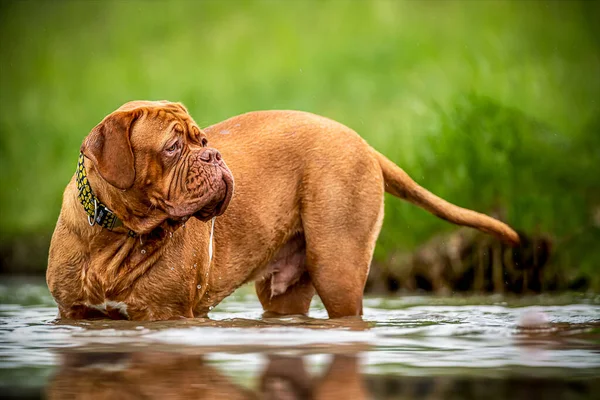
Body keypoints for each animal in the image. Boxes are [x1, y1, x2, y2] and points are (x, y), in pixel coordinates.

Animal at [45, 101, 520, 320]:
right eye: (173, 146)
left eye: (203, 141)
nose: (214, 155)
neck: (116, 234)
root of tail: (364, 143)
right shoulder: (75, 313)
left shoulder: (170, 314)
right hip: (286, 291)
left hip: (338, 270)